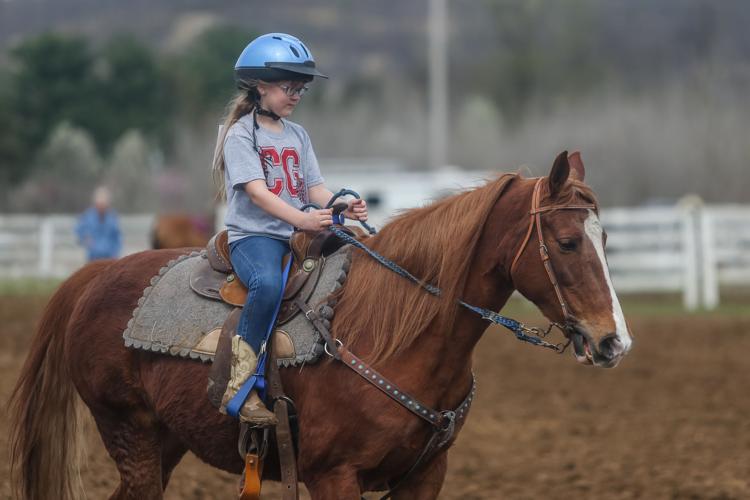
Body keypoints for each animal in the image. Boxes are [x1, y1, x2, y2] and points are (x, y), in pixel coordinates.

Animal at [10, 151, 632, 499]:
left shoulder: (423, 478)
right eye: (568, 241)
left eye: (605, 237)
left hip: (162, 442)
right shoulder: (334, 475)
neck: (394, 336)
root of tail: (96, 274)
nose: (613, 340)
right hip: (129, 433)